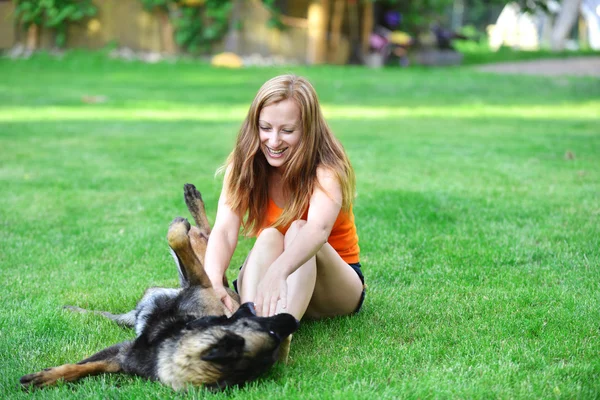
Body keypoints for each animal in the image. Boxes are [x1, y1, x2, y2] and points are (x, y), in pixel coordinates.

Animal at [18, 184, 300, 390]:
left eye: (272, 334)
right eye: (264, 326)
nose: (291, 321)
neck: (169, 334)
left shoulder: (199, 282)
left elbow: (175, 237)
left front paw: (178, 225)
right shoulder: (123, 352)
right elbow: (83, 366)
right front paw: (47, 377)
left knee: (202, 237)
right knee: (210, 235)